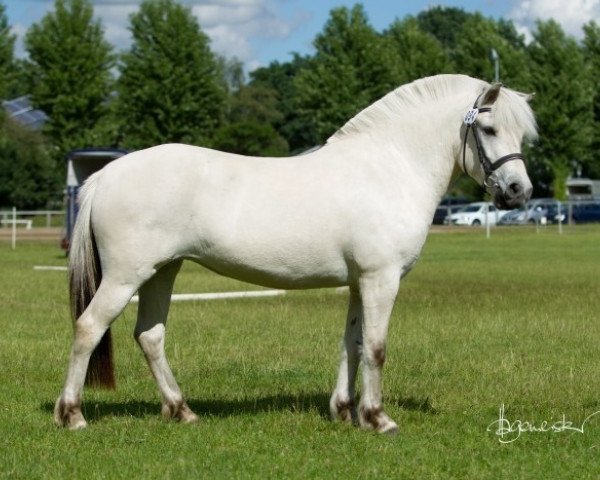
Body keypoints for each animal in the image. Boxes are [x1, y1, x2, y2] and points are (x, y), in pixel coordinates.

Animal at [54, 74, 536, 432]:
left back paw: (182, 410)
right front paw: (378, 419)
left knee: (150, 336)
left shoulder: (359, 282)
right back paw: (72, 415)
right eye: (489, 129)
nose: (519, 191)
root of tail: (107, 174)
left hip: (162, 271)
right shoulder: (380, 279)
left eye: (521, 134)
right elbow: (376, 347)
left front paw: (344, 411)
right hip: (126, 275)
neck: (389, 167)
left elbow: (352, 343)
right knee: (89, 328)